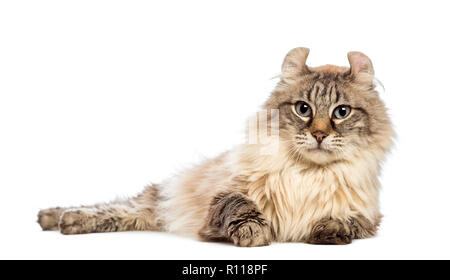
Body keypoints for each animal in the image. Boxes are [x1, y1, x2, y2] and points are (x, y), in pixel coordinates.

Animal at [37, 48, 394, 247]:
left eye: (341, 112)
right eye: (303, 109)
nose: (319, 134)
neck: (307, 174)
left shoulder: (369, 216)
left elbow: (346, 221)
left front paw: (329, 230)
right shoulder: (224, 195)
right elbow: (239, 206)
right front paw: (253, 233)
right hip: (160, 197)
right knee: (118, 207)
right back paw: (60, 218)